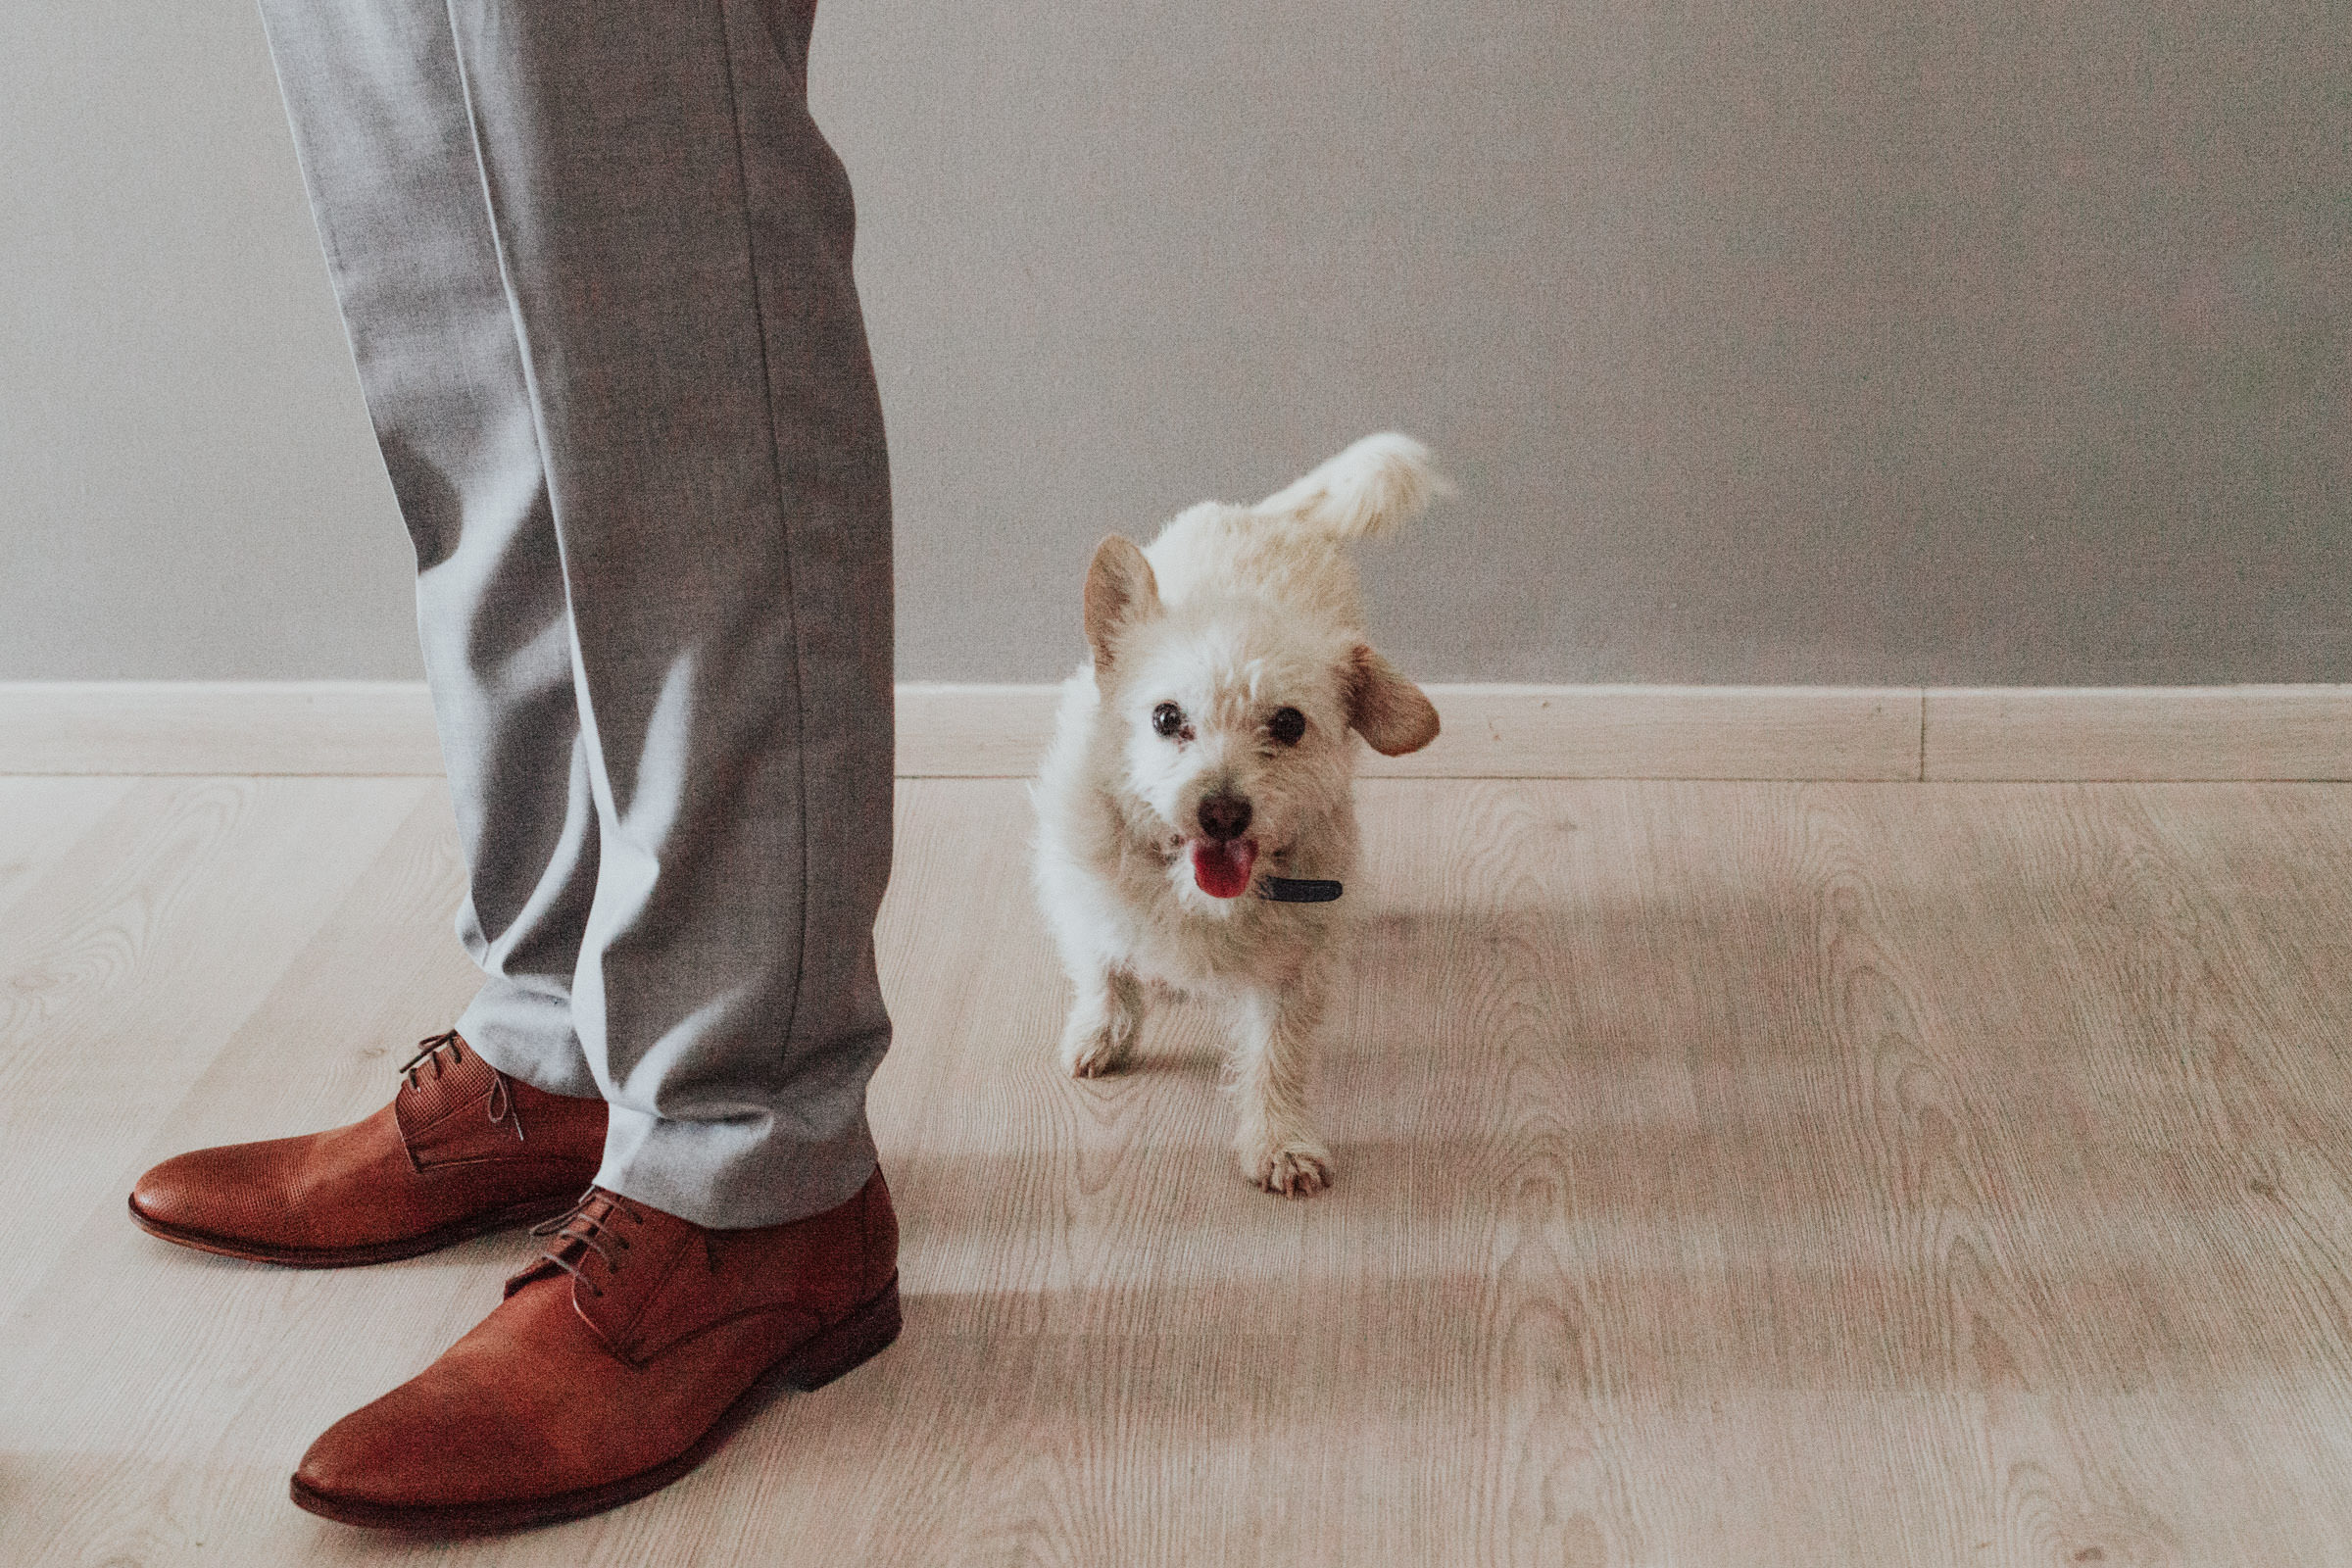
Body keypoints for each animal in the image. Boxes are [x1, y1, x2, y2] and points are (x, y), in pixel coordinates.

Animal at [1035, 434, 1439, 1194]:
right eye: (1167, 717)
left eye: (1288, 723)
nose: (1222, 812)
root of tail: (1271, 517)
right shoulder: (1080, 887)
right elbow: (1102, 967)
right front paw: (1102, 1031)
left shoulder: (1296, 967)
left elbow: (1276, 1055)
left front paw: (1279, 1141)